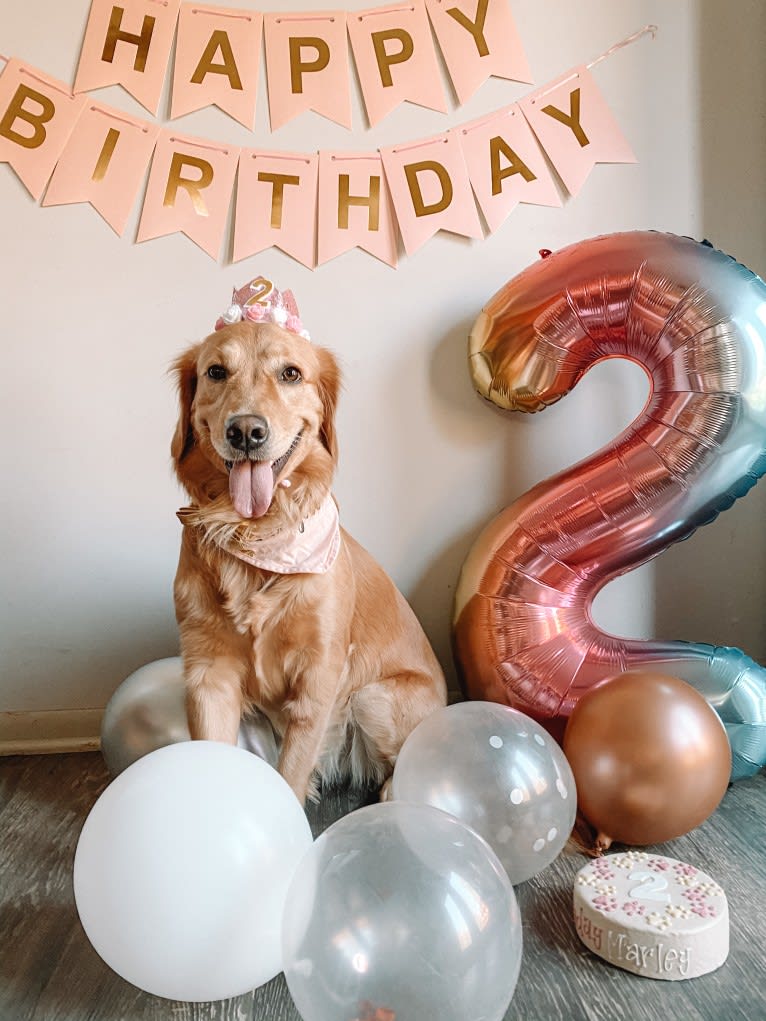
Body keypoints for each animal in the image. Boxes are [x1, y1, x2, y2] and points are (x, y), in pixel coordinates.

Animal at [170, 279, 447, 804]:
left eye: (291, 374)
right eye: (216, 372)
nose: (246, 431)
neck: (256, 535)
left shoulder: (319, 673)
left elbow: (292, 772)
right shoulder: (207, 672)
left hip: (372, 696)